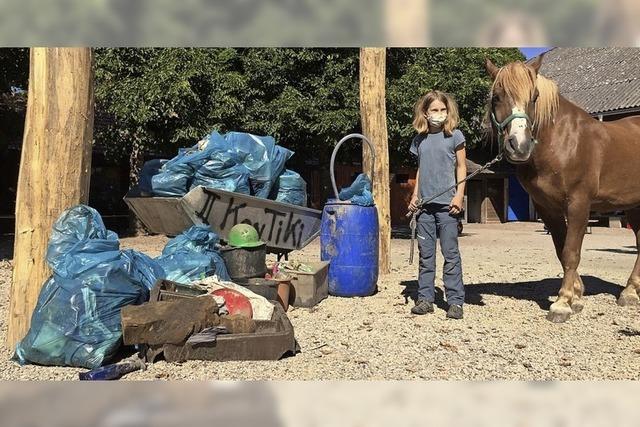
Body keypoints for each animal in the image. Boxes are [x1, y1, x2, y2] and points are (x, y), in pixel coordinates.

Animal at [482, 55, 640, 322]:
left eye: (534, 96)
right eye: (497, 97)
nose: (519, 146)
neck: (562, 141)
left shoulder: (578, 204)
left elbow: (571, 252)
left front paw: (562, 303)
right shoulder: (547, 208)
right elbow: (561, 248)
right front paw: (577, 295)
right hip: (632, 205)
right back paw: (630, 292)